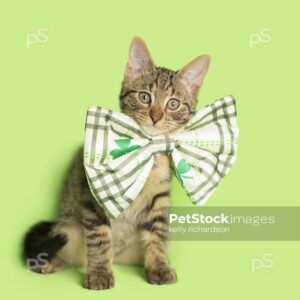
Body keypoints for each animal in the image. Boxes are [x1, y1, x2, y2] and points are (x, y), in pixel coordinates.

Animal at [23, 36, 210, 290]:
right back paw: (51, 262)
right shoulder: (95, 194)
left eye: (173, 104)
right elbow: (100, 238)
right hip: (69, 230)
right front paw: (99, 273)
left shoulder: (159, 197)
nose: (156, 116)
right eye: (144, 97)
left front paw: (159, 266)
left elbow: (158, 235)